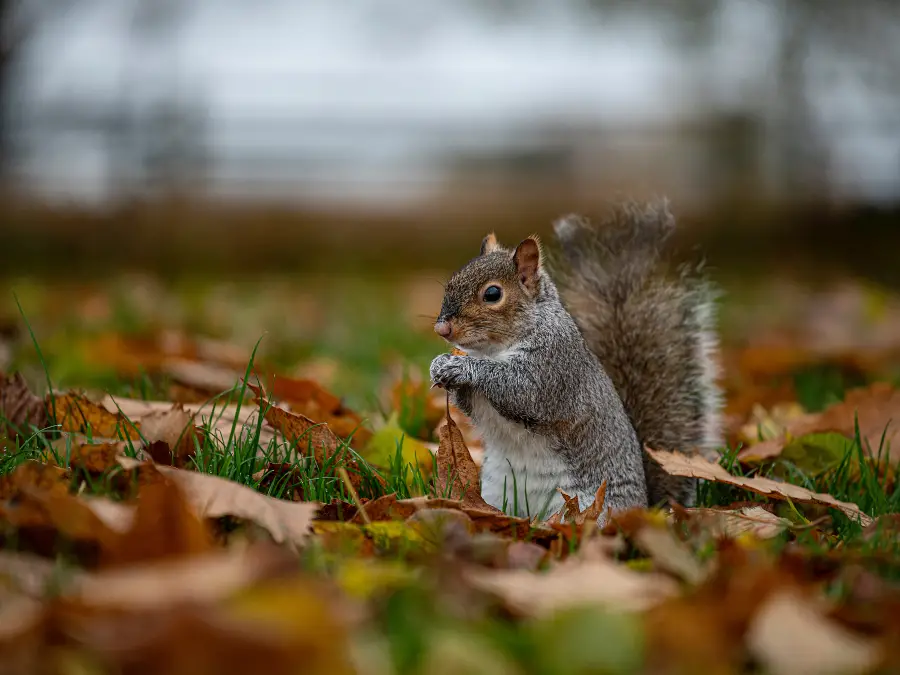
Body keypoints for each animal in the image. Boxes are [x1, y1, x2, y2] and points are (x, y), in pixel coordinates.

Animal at [430, 198, 724, 524]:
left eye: (492, 294)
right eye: (450, 283)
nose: (442, 329)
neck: (494, 349)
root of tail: (645, 507)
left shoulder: (553, 365)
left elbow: (522, 390)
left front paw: (461, 368)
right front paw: (439, 364)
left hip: (593, 506)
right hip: (497, 490)